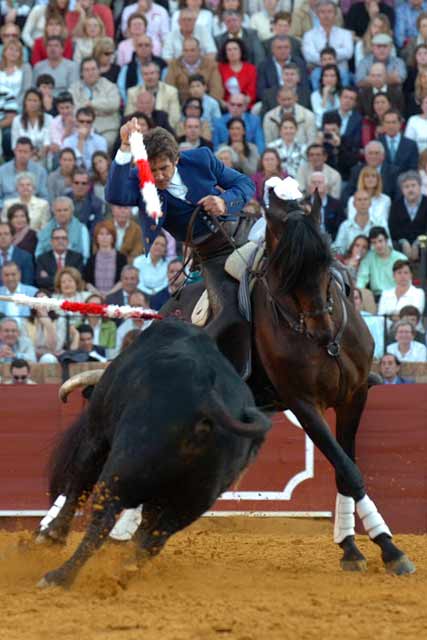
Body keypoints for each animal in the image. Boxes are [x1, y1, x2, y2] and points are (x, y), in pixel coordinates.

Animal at [36, 318, 270, 588]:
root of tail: (209, 399)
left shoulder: (96, 437)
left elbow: (78, 485)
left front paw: (51, 536)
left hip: (121, 471)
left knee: (102, 520)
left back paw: (59, 577)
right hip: (194, 500)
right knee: (154, 541)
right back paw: (122, 572)